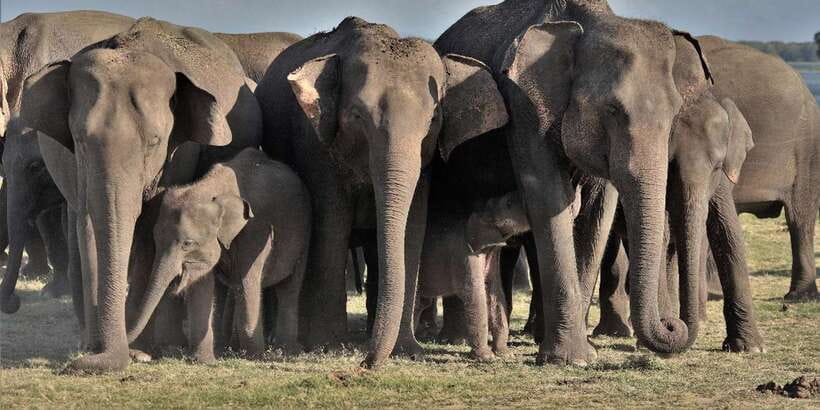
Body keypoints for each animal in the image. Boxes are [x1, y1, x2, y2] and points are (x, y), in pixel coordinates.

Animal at [20, 17, 262, 373]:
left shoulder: (179, 153)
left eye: (155, 141)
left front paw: (141, 351)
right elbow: (88, 225)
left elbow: (150, 228)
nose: (81, 363)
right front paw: (101, 349)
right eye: (79, 140)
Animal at [127, 148, 311, 362]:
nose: (137, 355)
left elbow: (247, 281)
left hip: (305, 232)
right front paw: (204, 361)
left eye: (187, 243)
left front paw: (255, 356)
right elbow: (202, 284)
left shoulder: (255, 229)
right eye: (156, 240)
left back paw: (285, 349)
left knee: (288, 288)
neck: (210, 187)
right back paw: (230, 347)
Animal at [255, 17, 509, 368]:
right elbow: (331, 224)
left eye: (433, 119)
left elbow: (413, 227)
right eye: (357, 116)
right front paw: (328, 346)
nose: (365, 363)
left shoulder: (425, 164)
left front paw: (408, 350)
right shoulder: (315, 146)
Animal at [416, 191, 530, 360]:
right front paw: (487, 357)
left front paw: (506, 354)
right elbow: (475, 295)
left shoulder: (492, 253)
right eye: (508, 203)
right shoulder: (465, 255)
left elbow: (494, 291)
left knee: (420, 302)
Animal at [434, 0, 760, 362]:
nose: (673, 325)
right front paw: (569, 358)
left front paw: (580, 351)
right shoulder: (525, 107)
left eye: (674, 114)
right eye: (612, 110)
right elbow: (548, 197)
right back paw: (458, 339)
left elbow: (595, 214)